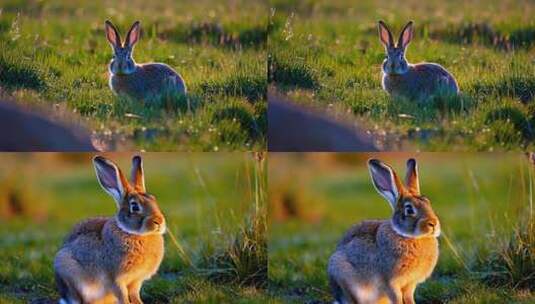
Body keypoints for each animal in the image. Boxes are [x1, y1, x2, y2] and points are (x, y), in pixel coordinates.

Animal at [54, 156, 165, 302]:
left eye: (154, 199)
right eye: (135, 206)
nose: (159, 221)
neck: (134, 234)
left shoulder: (136, 280)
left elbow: (135, 294)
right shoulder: (115, 279)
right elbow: (123, 296)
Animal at [328, 159, 442, 304]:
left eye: (428, 203)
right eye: (409, 210)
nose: (433, 223)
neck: (410, 237)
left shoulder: (410, 284)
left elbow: (409, 298)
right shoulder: (390, 283)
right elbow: (397, 298)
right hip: (344, 278)